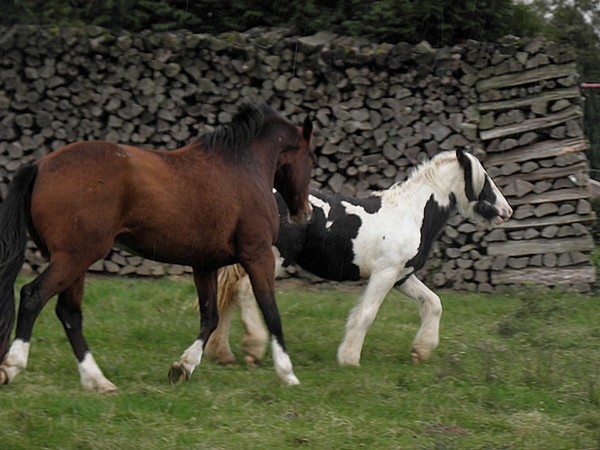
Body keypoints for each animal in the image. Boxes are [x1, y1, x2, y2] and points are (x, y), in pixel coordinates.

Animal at [0, 102, 316, 390]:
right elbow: (271, 312)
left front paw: (183, 367)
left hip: (74, 261)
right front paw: (287, 374)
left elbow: (210, 317)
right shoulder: (258, 255)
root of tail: (40, 166)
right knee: (33, 296)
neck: (242, 166)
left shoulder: (205, 265)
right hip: (75, 257)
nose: (305, 212)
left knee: (69, 313)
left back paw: (97, 381)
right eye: (311, 158)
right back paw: (12, 366)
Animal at [205, 149, 510, 368]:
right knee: (244, 291)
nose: (506, 211)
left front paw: (420, 351)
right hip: (273, 260)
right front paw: (349, 358)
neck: (411, 213)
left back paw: (221, 353)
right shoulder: (385, 273)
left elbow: (433, 303)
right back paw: (253, 349)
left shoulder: (401, 276)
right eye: (483, 179)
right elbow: (366, 314)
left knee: (227, 294)